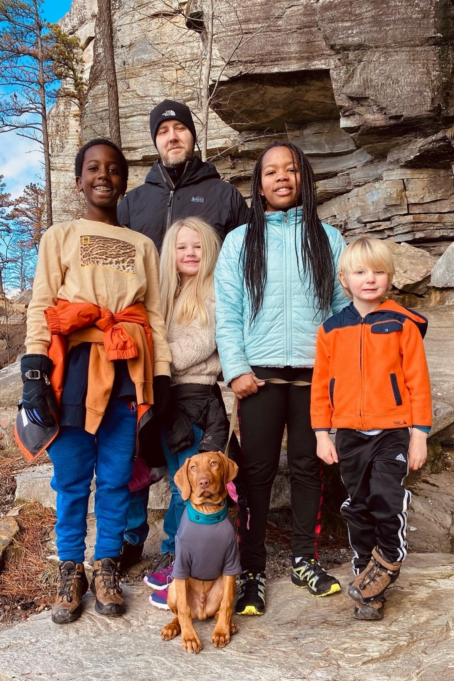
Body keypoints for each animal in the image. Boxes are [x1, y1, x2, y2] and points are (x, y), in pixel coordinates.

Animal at [160, 452, 238, 652]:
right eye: (193, 467)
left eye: (214, 463)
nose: (203, 482)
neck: (208, 513)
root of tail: (201, 612)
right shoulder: (181, 565)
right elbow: (183, 610)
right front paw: (189, 638)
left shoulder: (231, 563)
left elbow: (227, 604)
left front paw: (221, 632)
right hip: (173, 588)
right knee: (178, 612)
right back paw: (172, 627)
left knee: (219, 610)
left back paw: (229, 625)